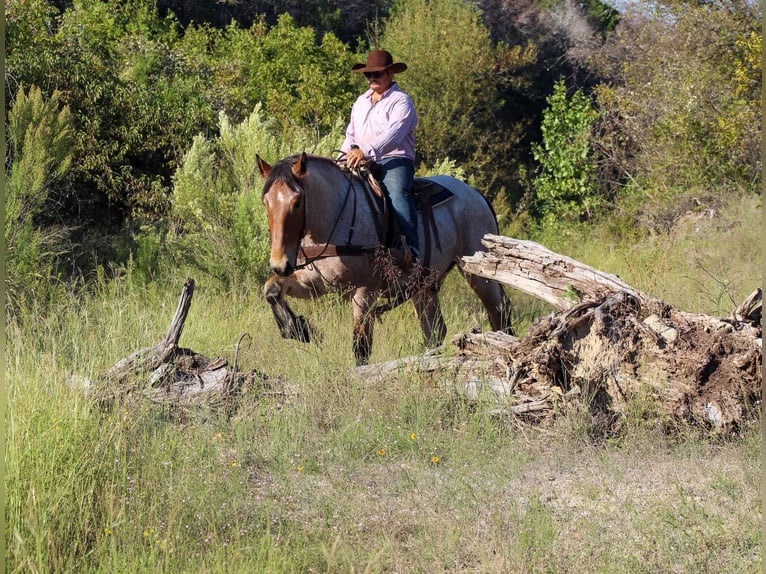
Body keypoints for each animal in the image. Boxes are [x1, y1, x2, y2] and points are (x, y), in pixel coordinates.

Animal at [260, 153, 516, 366]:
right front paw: (298, 329)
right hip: (426, 287)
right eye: (266, 202)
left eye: (297, 202)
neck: (336, 219)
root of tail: (476, 194)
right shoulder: (313, 283)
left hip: (479, 275)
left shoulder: (365, 292)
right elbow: (272, 290)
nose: (279, 263)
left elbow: (361, 347)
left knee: (499, 312)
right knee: (434, 332)